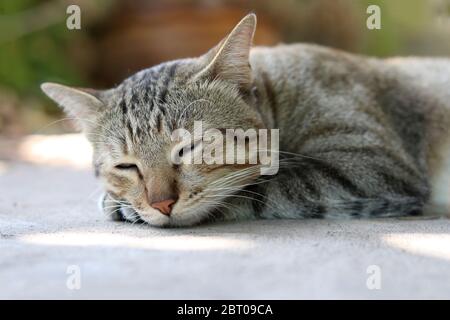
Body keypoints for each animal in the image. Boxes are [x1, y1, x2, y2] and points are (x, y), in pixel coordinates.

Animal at [41, 14, 450, 228]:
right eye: (126, 166)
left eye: (189, 148)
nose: (161, 204)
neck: (276, 91)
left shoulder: (371, 165)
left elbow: (260, 190)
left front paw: (120, 206)